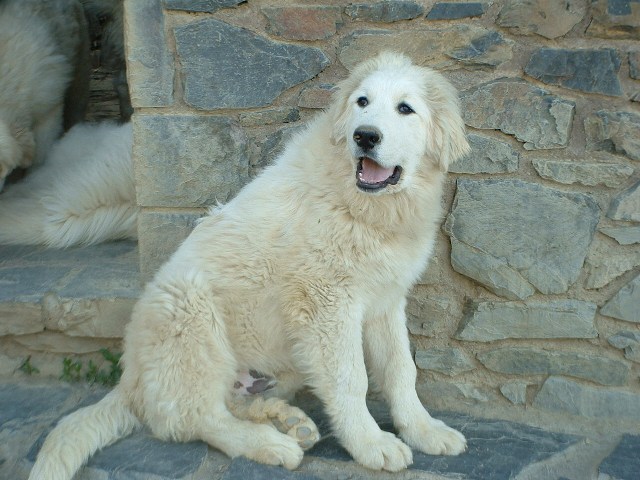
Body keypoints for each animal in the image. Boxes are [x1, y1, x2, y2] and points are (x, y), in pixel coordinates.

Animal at [28, 52, 470, 480]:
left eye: (405, 109)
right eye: (362, 102)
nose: (364, 135)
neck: (364, 205)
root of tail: (131, 379)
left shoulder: (385, 300)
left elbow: (401, 370)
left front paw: (424, 430)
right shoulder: (327, 304)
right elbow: (351, 380)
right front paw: (371, 444)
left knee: (225, 404)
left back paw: (287, 421)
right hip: (189, 312)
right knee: (196, 418)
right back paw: (270, 444)